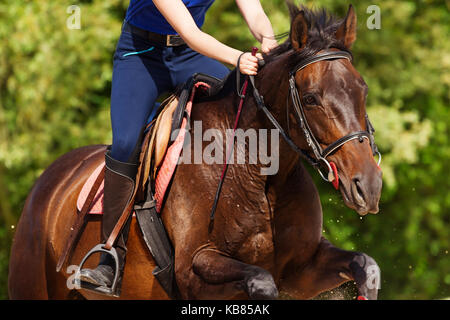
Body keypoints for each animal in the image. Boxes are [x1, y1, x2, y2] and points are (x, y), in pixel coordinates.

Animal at [7, 4, 384, 300]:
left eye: (362, 90)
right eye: (310, 98)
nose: (368, 186)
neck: (256, 170)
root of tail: (52, 179)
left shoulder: (302, 270)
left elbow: (367, 266)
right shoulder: (193, 270)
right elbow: (261, 282)